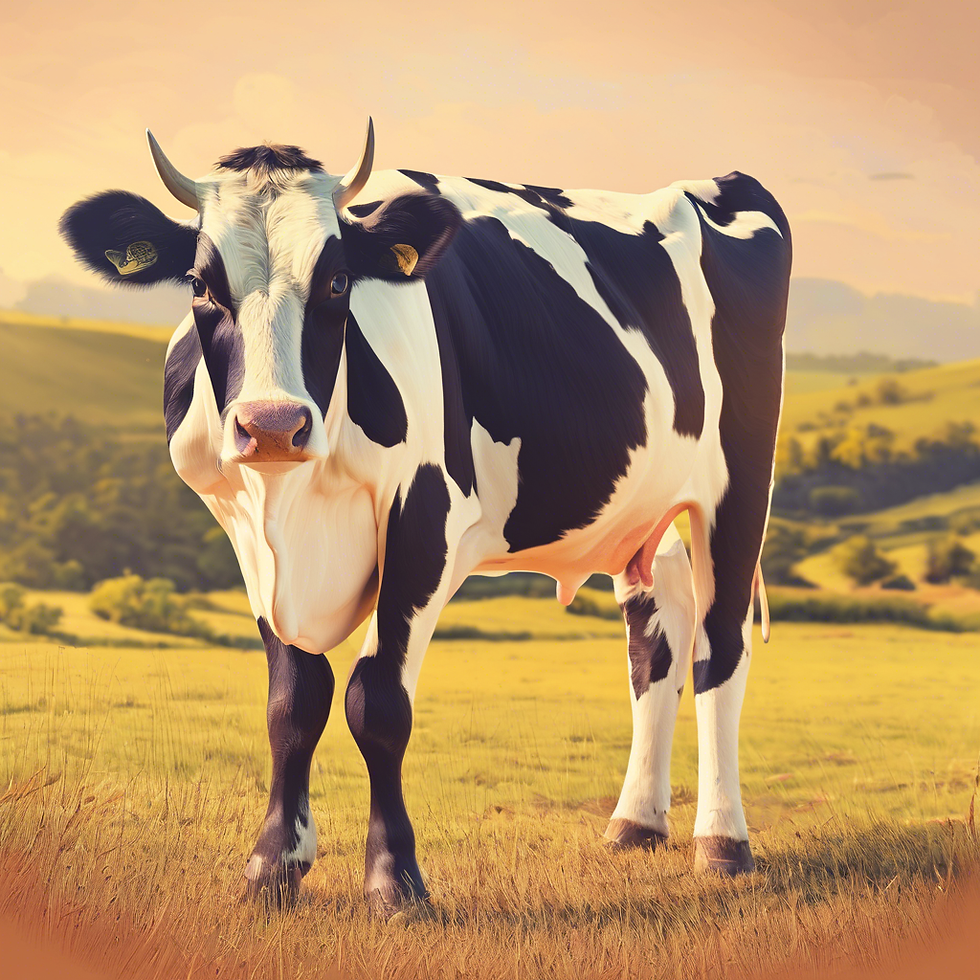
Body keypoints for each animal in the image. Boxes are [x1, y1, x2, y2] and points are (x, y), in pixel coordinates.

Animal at [60, 120, 790, 915]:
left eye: (338, 282)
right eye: (199, 285)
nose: (273, 425)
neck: (296, 507)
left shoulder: (425, 521)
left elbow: (376, 703)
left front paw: (395, 880)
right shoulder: (247, 538)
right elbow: (293, 702)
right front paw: (273, 866)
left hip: (739, 481)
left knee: (720, 645)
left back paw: (722, 842)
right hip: (638, 512)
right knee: (656, 640)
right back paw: (635, 823)